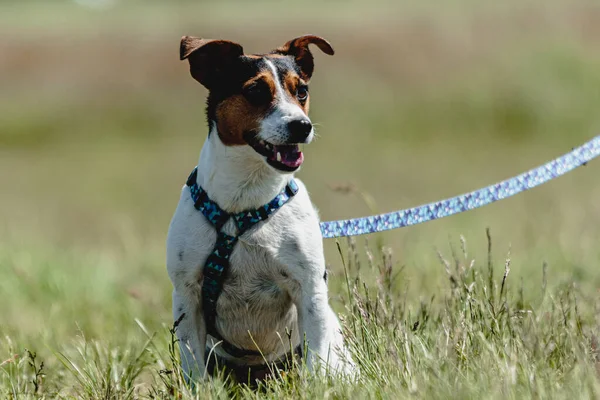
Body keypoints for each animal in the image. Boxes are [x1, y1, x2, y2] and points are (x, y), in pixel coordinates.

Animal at [166, 35, 354, 384]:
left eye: (301, 90)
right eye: (255, 91)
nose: (302, 126)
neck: (243, 206)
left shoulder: (309, 288)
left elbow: (317, 354)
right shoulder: (187, 294)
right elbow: (194, 365)